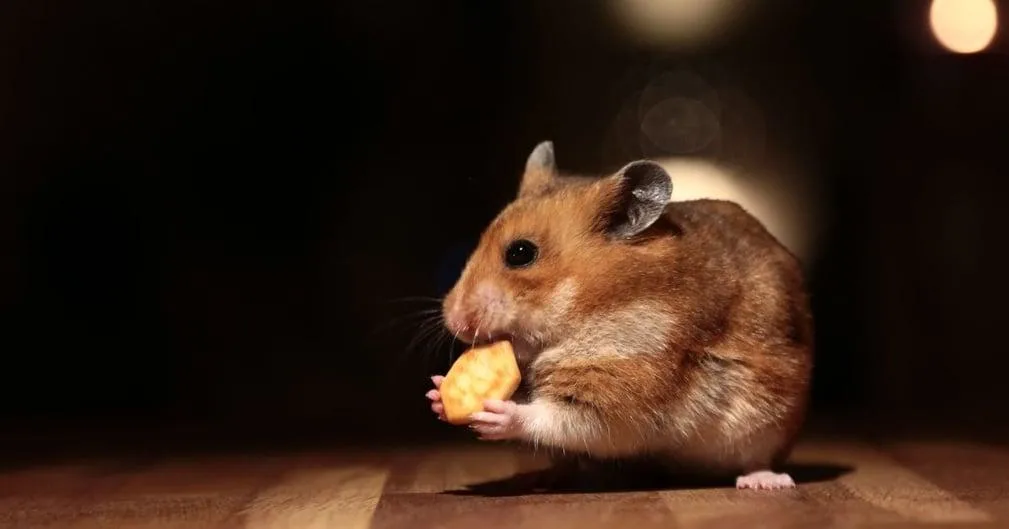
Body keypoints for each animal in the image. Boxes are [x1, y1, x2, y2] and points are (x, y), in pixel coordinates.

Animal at [426, 141, 813, 490]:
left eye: (520, 253)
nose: (454, 320)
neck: (588, 308)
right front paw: (437, 395)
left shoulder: (624, 384)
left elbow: (556, 418)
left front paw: (495, 414)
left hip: (769, 427)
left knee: (758, 460)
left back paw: (766, 482)